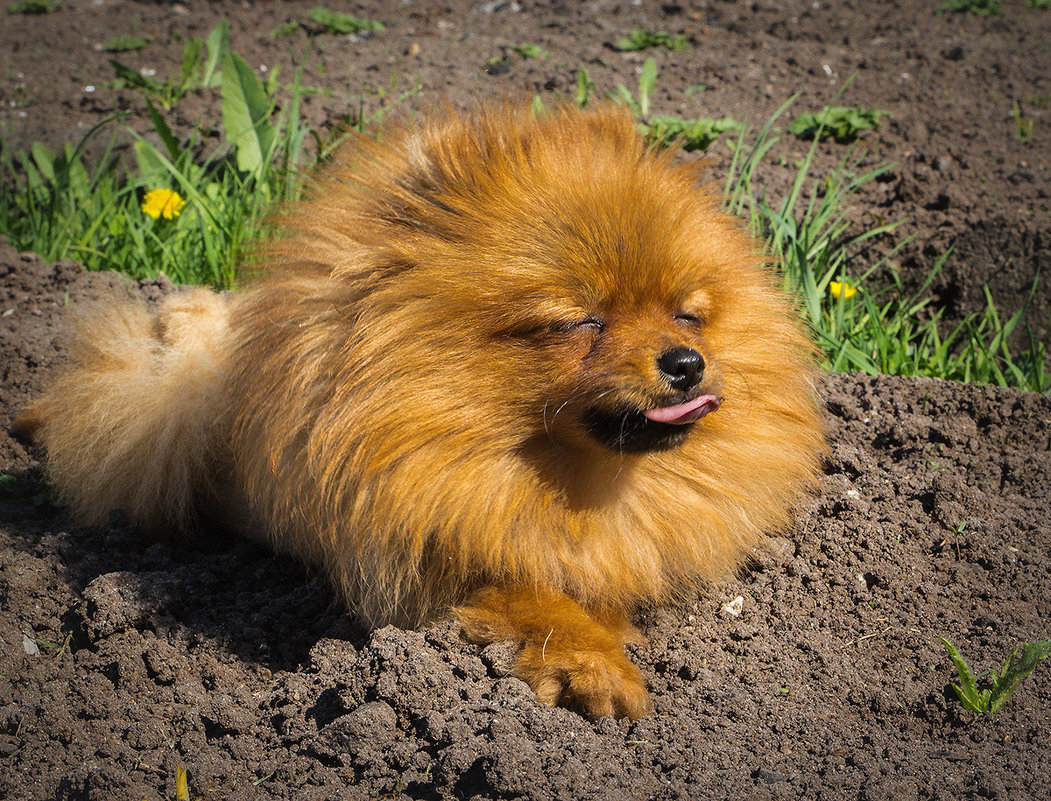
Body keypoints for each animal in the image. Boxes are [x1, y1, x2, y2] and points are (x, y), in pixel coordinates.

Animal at [12, 101, 823, 719]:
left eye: (688, 315)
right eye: (581, 322)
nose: (686, 363)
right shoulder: (436, 549)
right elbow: (534, 597)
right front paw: (594, 667)